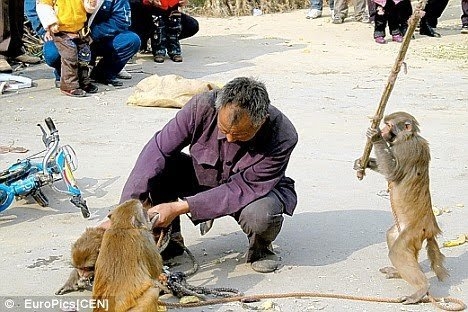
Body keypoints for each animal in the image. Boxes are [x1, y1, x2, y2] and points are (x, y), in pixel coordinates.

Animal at [354, 111, 450, 304]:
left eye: (388, 125)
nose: (383, 131)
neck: (407, 137)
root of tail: (431, 228)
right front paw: (362, 163)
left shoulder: (406, 149)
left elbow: (393, 172)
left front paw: (374, 136)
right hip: (407, 230)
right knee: (393, 237)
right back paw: (400, 273)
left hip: (415, 230)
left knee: (397, 252)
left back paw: (421, 289)